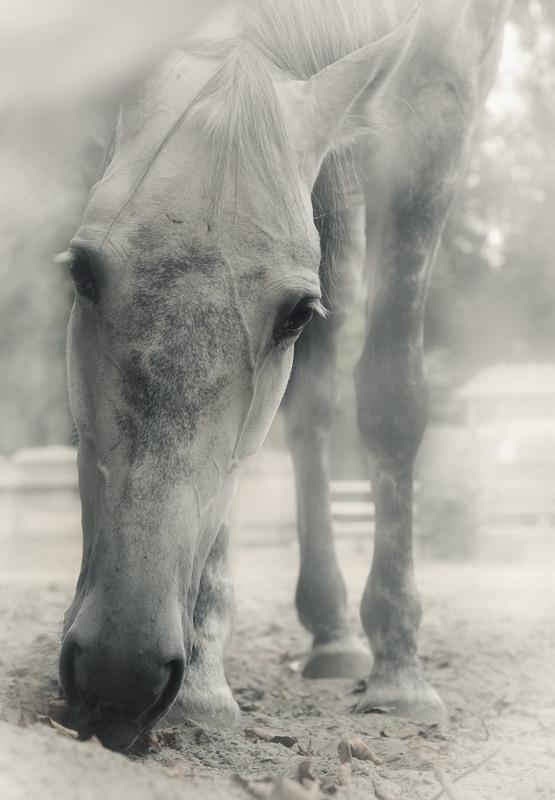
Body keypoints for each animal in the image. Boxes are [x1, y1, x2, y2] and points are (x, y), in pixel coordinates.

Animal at [56, 0, 512, 752]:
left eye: (296, 314)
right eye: (82, 272)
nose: (119, 673)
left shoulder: (436, 99)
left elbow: (392, 398)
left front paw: (400, 676)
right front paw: (205, 680)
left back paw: (342, 639)